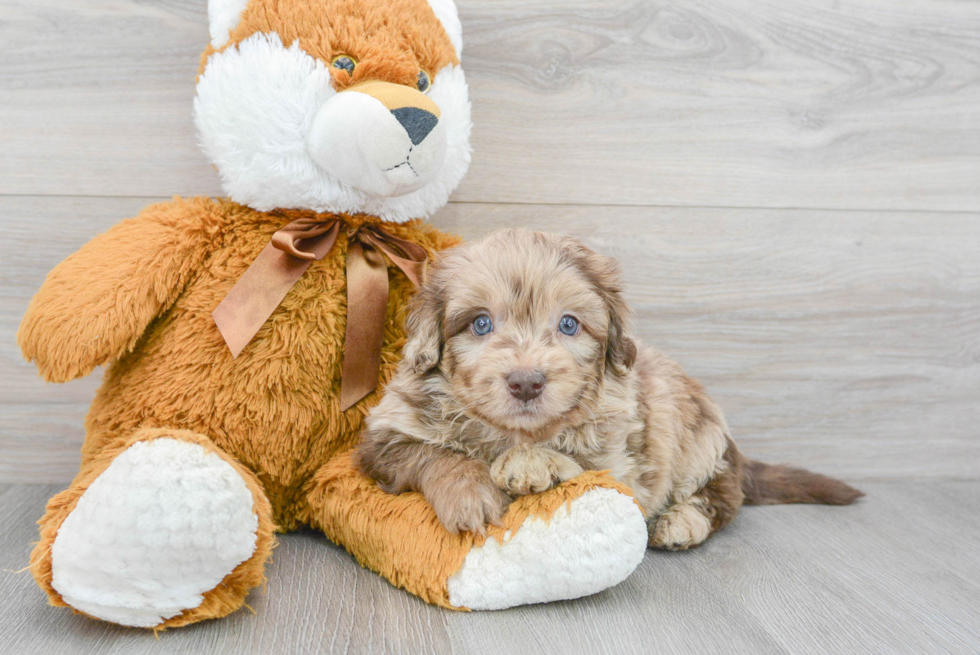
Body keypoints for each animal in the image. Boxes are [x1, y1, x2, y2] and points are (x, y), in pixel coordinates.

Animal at [358, 229, 856, 548]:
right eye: (481, 323)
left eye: (568, 324)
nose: (526, 382)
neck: (515, 432)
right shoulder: (382, 437)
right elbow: (433, 454)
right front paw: (469, 494)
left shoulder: (621, 458)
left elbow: (579, 463)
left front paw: (532, 463)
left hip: (699, 440)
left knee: (723, 495)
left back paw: (682, 523)